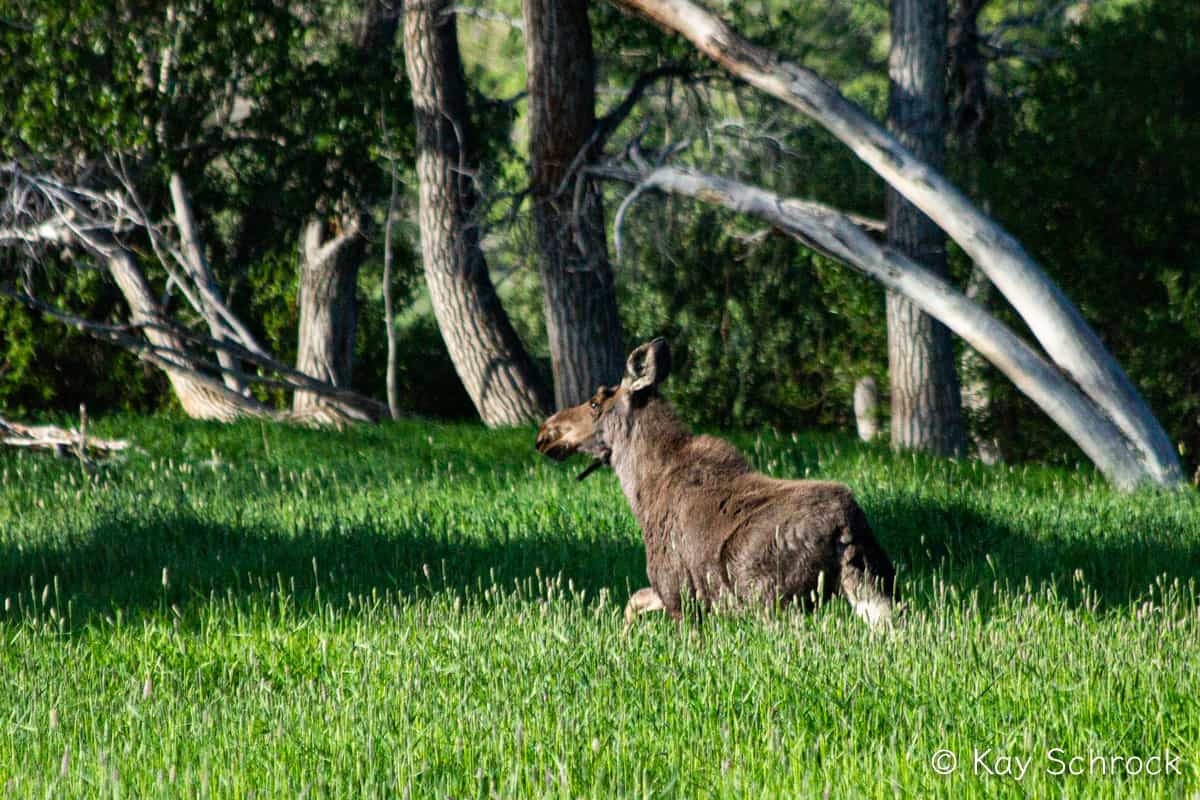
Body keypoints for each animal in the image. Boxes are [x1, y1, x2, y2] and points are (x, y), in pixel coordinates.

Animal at [535, 338, 896, 629]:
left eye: (595, 403)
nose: (545, 432)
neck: (640, 491)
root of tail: (846, 527)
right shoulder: (674, 594)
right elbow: (632, 602)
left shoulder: (678, 593)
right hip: (873, 586)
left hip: (771, 597)